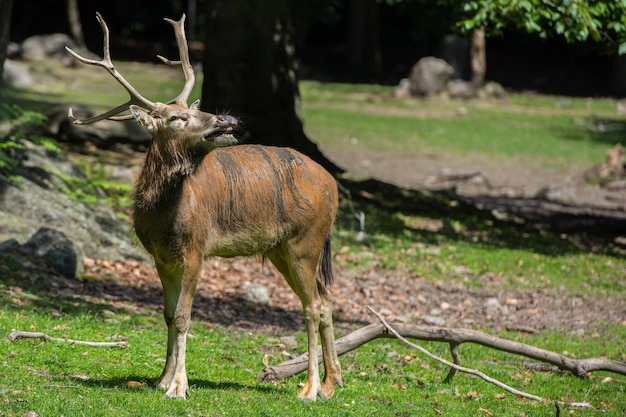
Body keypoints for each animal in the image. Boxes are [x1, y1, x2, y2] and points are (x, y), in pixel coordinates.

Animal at [64, 13, 342, 400]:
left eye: (191, 111)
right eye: (176, 118)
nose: (226, 119)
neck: (163, 220)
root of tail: (333, 184)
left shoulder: (197, 247)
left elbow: (184, 317)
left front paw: (178, 386)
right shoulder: (161, 257)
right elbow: (167, 314)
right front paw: (161, 378)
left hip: (307, 240)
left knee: (312, 306)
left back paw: (310, 388)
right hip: (281, 249)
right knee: (325, 297)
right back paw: (332, 382)